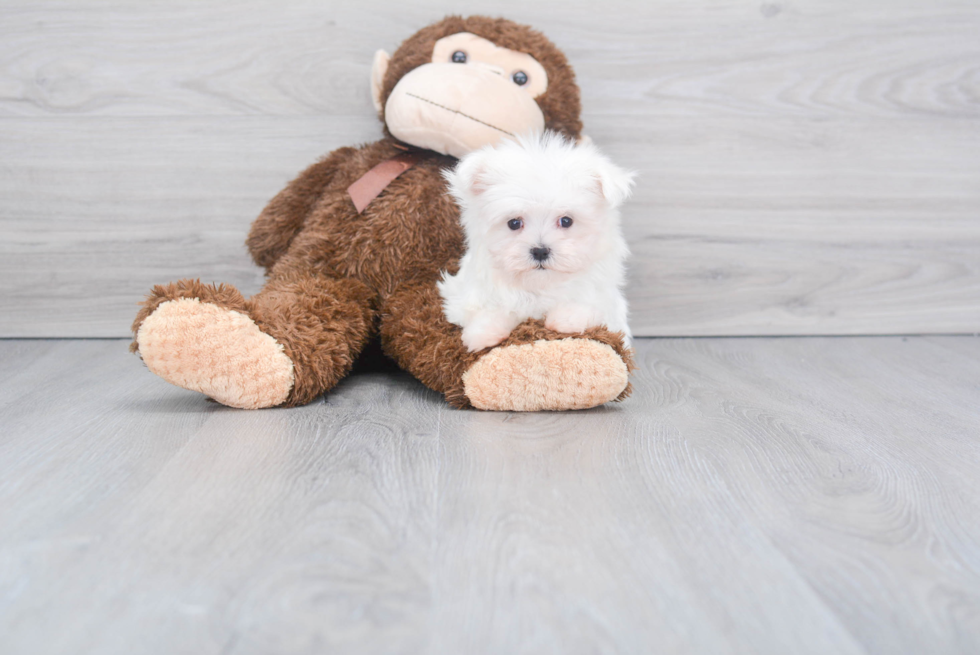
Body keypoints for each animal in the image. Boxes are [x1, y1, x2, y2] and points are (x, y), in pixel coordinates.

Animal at [438, 133, 636, 354]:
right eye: (514, 223)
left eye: (566, 221)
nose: (540, 251)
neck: (539, 285)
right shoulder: (462, 294)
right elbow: (486, 308)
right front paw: (483, 333)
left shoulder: (607, 302)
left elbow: (591, 306)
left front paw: (567, 318)